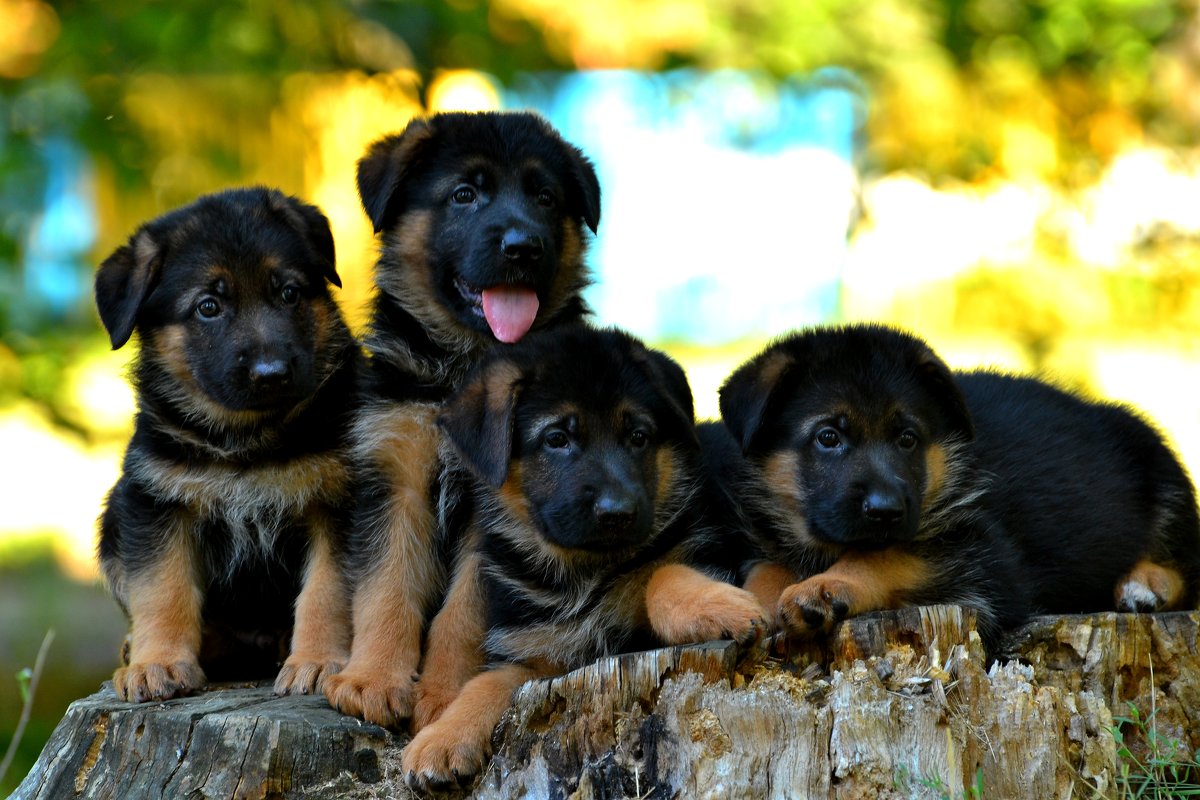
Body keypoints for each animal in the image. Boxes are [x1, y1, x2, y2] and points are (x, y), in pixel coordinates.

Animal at [94, 188, 360, 700]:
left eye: (289, 293)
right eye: (208, 306)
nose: (271, 374)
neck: (246, 441)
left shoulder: (337, 500)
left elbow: (327, 591)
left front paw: (317, 661)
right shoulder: (155, 502)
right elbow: (162, 590)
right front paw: (157, 663)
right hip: (113, 515)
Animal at [326, 109, 600, 734]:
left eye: (544, 197)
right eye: (464, 194)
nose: (523, 247)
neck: (465, 368)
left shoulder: (495, 514)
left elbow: (464, 613)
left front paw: (445, 697)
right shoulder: (395, 475)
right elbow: (387, 586)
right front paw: (373, 680)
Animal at [398, 328, 763, 791]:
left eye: (638, 437)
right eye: (557, 439)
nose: (617, 513)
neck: (586, 574)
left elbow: (661, 573)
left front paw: (719, 606)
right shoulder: (540, 655)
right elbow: (487, 682)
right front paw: (442, 737)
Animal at [720, 321, 1200, 647]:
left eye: (907, 438)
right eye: (828, 437)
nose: (886, 511)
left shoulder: (987, 562)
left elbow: (887, 555)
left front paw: (823, 587)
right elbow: (766, 569)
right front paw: (754, 605)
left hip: (1160, 464)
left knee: (1186, 570)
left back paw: (1144, 585)